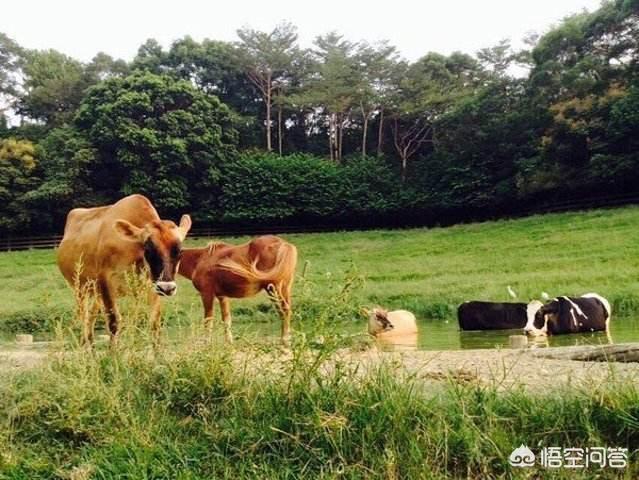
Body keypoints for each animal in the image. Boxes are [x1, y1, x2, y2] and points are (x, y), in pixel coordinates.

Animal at [56, 195, 191, 344]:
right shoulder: (105, 281)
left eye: (180, 251)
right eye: (148, 249)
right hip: (79, 287)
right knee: (83, 316)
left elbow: (155, 324)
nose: (167, 288)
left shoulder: (153, 286)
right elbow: (114, 322)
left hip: (95, 292)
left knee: (91, 317)